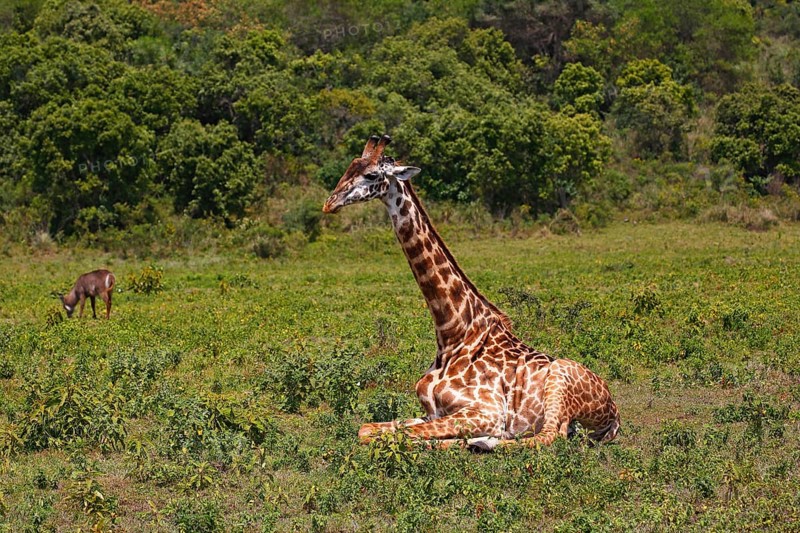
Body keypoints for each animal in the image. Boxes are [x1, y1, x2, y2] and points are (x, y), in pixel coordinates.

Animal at [322, 135, 620, 451]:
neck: (453, 333)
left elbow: (404, 437)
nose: (329, 204)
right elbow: (368, 429)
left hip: (559, 382)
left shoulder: (487, 411)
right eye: (350, 166)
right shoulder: (432, 411)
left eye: (371, 175)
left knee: (550, 435)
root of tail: (614, 413)